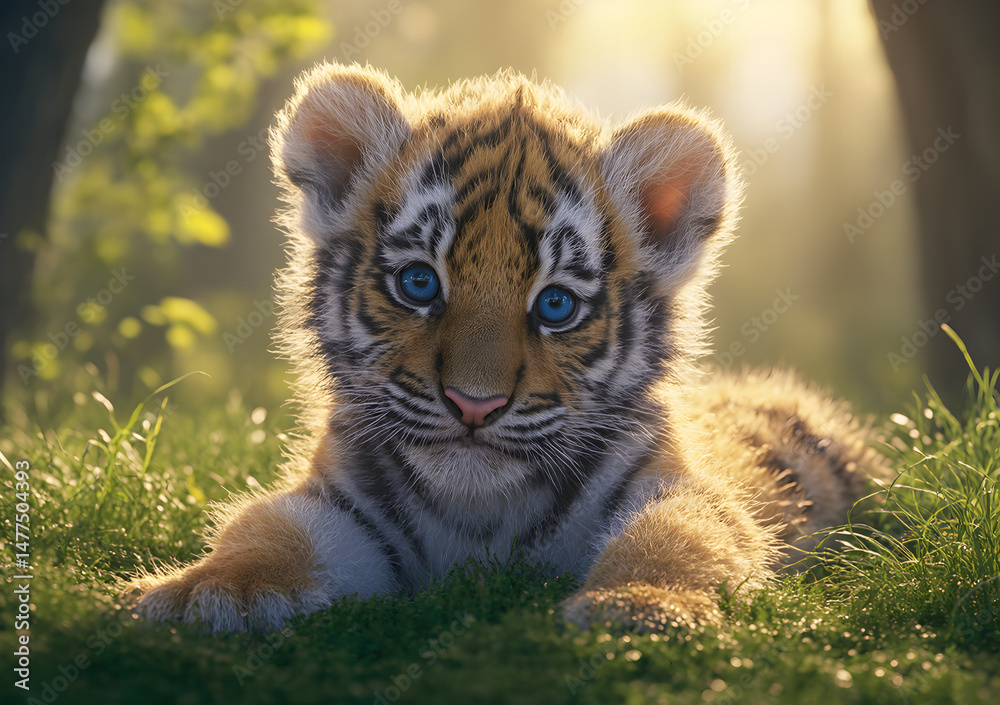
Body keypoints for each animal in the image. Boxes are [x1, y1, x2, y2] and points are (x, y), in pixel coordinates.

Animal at [131, 62, 887, 633]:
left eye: (556, 304)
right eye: (418, 282)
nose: (474, 404)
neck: (479, 513)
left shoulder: (671, 484)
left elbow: (682, 535)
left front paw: (640, 605)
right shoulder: (341, 502)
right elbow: (264, 529)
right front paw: (206, 593)